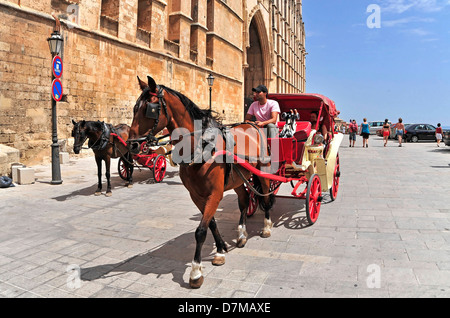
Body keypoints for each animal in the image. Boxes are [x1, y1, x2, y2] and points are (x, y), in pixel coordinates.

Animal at [126, 75, 274, 288]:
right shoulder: (196, 195)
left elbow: (201, 231)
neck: (201, 146)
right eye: (134, 108)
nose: (132, 145)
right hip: (238, 179)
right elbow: (210, 223)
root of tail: (251, 125)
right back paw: (241, 234)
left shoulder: (215, 193)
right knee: (244, 201)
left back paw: (267, 227)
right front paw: (220, 250)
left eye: (150, 108)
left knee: (267, 198)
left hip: (263, 170)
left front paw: (196, 272)